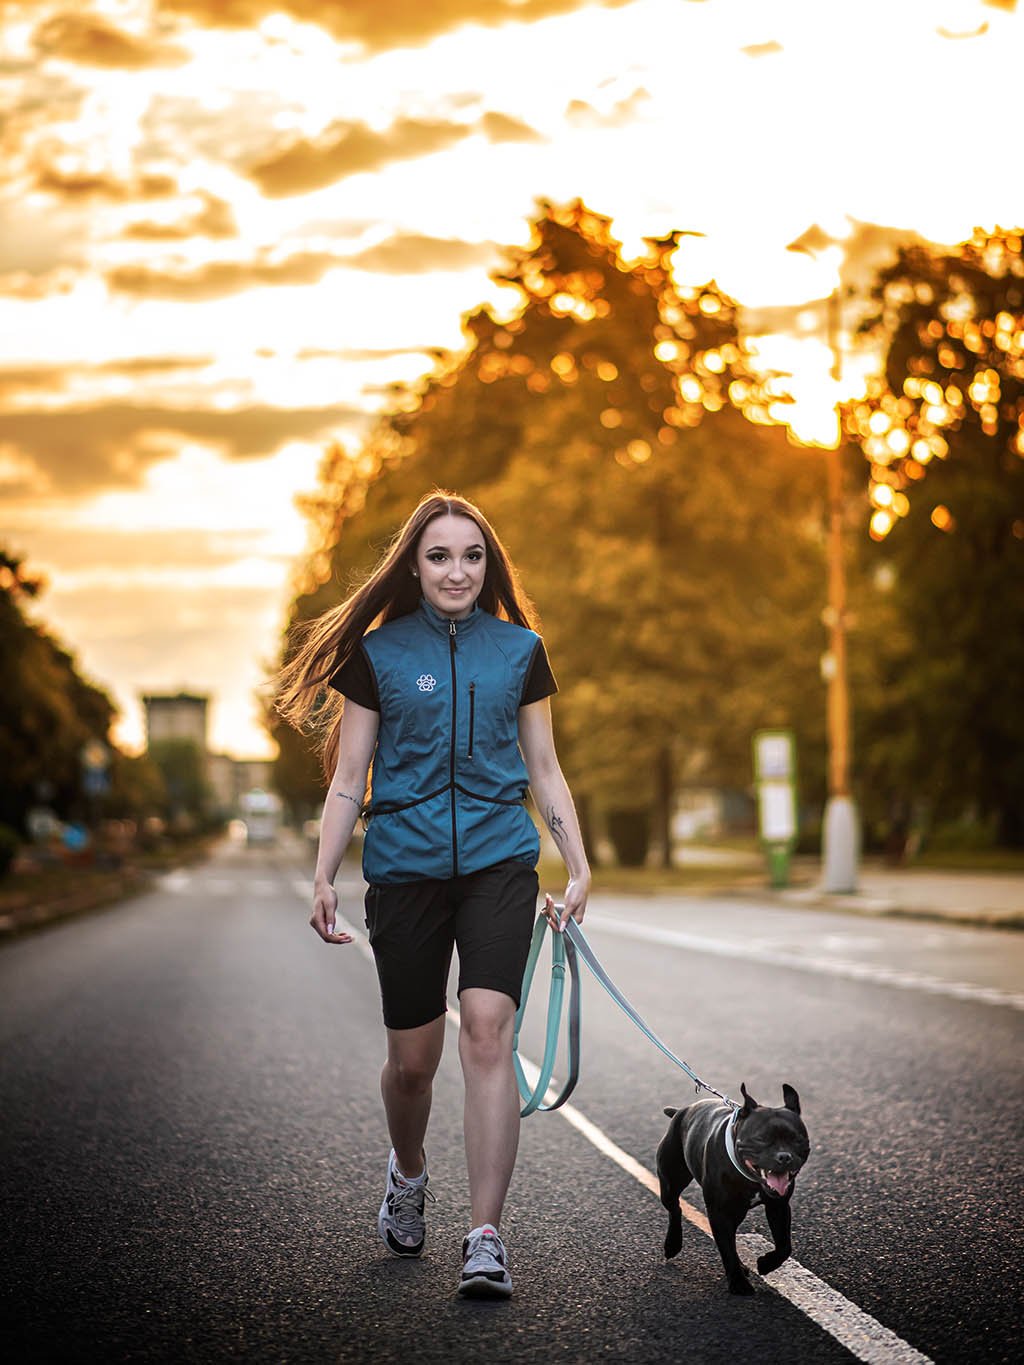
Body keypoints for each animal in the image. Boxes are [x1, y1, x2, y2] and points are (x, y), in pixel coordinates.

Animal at [660, 1081, 813, 1294]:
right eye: (761, 1138)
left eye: (797, 1139)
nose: (784, 1157)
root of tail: (681, 1111)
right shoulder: (719, 1212)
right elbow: (727, 1249)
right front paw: (739, 1284)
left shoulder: (779, 1206)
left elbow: (784, 1245)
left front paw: (766, 1264)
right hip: (670, 1183)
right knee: (675, 1208)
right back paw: (672, 1244)